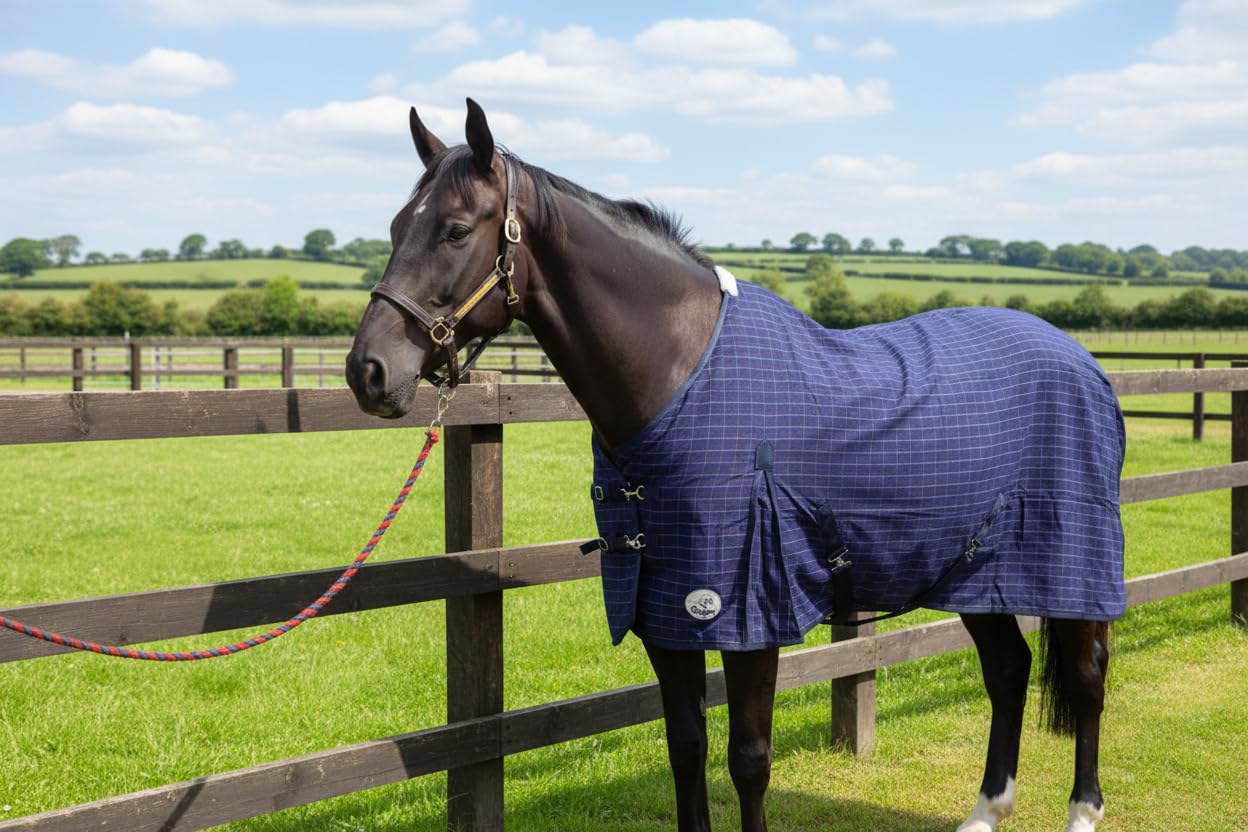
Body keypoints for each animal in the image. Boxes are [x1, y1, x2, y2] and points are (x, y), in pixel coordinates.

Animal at [346, 99, 1124, 832]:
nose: (368, 371)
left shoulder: (745, 608)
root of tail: (1081, 359)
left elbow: (748, 759)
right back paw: (987, 809)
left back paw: (1083, 810)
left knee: (1086, 676)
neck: (680, 374)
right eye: (395, 226)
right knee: (1009, 669)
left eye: (454, 230)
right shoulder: (663, 605)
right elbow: (685, 747)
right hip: (972, 569)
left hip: (1071, 561)